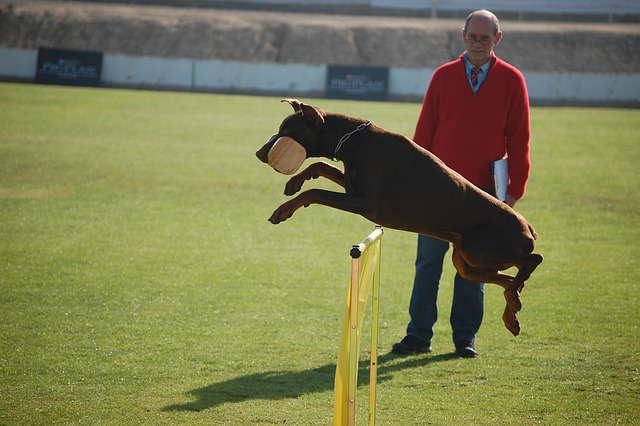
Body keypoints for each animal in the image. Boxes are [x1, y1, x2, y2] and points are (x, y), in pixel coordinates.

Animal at [255, 99, 540, 336]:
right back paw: (512, 309)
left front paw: (284, 210)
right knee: (508, 280)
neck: (354, 142)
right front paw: (295, 182)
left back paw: (515, 301)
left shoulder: (366, 203)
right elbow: (320, 166)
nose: (259, 153)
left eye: (287, 132)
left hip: (480, 250)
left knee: (533, 260)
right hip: (467, 261)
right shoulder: (352, 188)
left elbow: (315, 192)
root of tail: (529, 228)